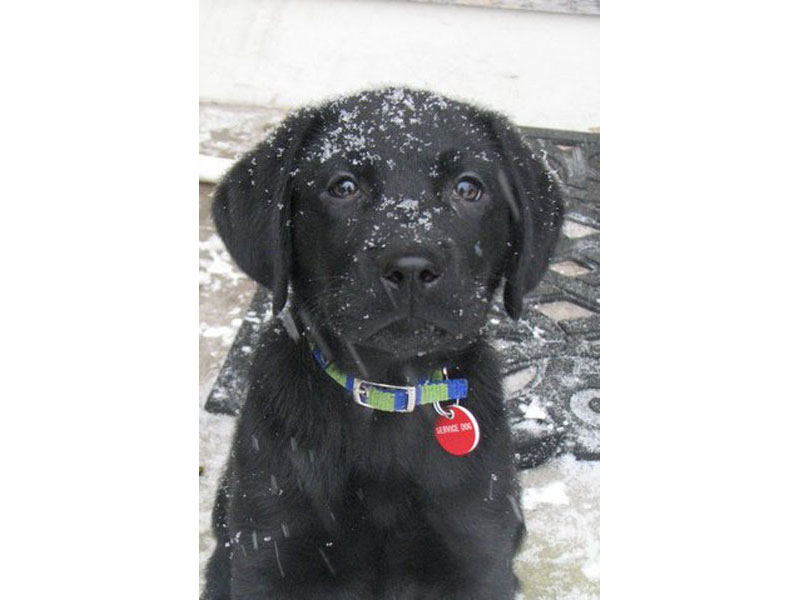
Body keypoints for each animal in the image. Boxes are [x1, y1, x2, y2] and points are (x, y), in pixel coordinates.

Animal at [205, 86, 564, 596]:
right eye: (343, 186)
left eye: (468, 188)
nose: (411, 267)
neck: (387, 395)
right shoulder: (268, 551)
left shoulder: (479, 551)